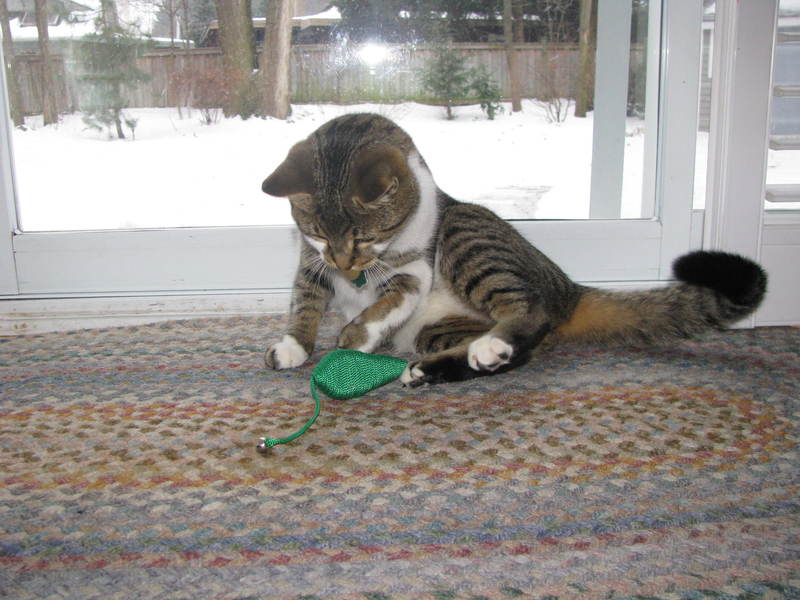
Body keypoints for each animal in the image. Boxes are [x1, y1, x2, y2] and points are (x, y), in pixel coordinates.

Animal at [260, 113, 767, 386]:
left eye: (363, 239)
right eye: (318, 233)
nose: (346, 267)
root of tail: (568, 289)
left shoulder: (414, 270)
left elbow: (387, 302)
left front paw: (356, 338)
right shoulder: (311, 262)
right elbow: (305, 301)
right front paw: (294, 345)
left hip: (468, 235)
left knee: (528, 313)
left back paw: (493, 345)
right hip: (439, 327)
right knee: (497, 350)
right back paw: (434, 368)